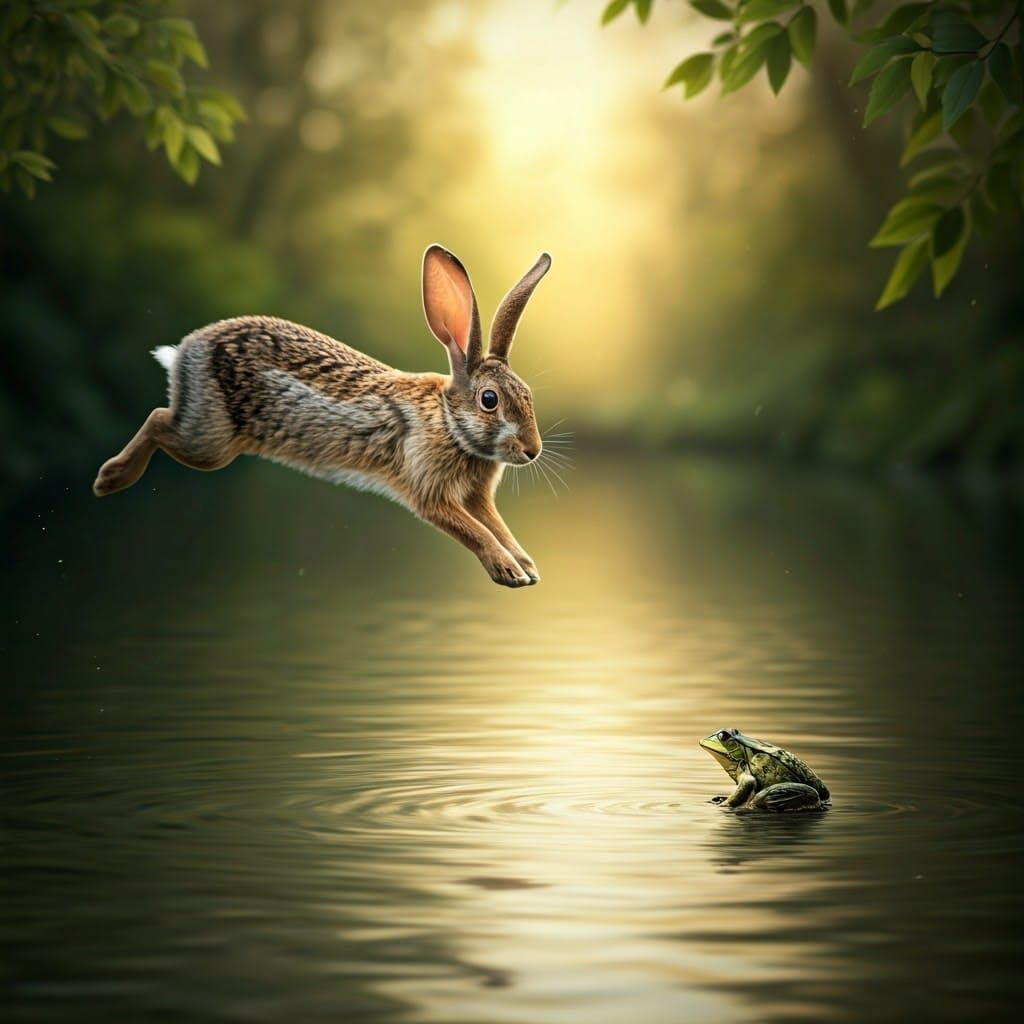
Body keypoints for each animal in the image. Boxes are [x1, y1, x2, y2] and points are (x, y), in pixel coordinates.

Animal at [92, 244, 552, 587]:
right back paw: (110, 479)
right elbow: (474, 531)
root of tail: (187, 349)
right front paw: (509, 571)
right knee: (158, 418)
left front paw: (527, 566)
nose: (532, 450)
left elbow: (497, 525)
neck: (450, 422)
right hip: (210, 442)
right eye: (489, 400)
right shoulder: (430, 491)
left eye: (528, 395)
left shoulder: (476, 496)